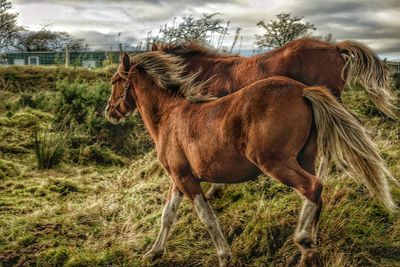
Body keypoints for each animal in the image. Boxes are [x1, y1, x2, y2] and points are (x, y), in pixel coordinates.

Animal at [104, 52, 396, 267]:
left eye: (115, 81)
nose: (110, 111)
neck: (169, 115)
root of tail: (302, 91)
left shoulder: (187, 179)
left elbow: (207, 218)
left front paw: (224, 257)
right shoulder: (178, 178)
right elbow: (168, 215)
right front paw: (154, 252)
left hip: (275, 163)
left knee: (312, 187)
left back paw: (303, 242)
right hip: (305, 159)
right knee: (316, 194)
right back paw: (311, 245)